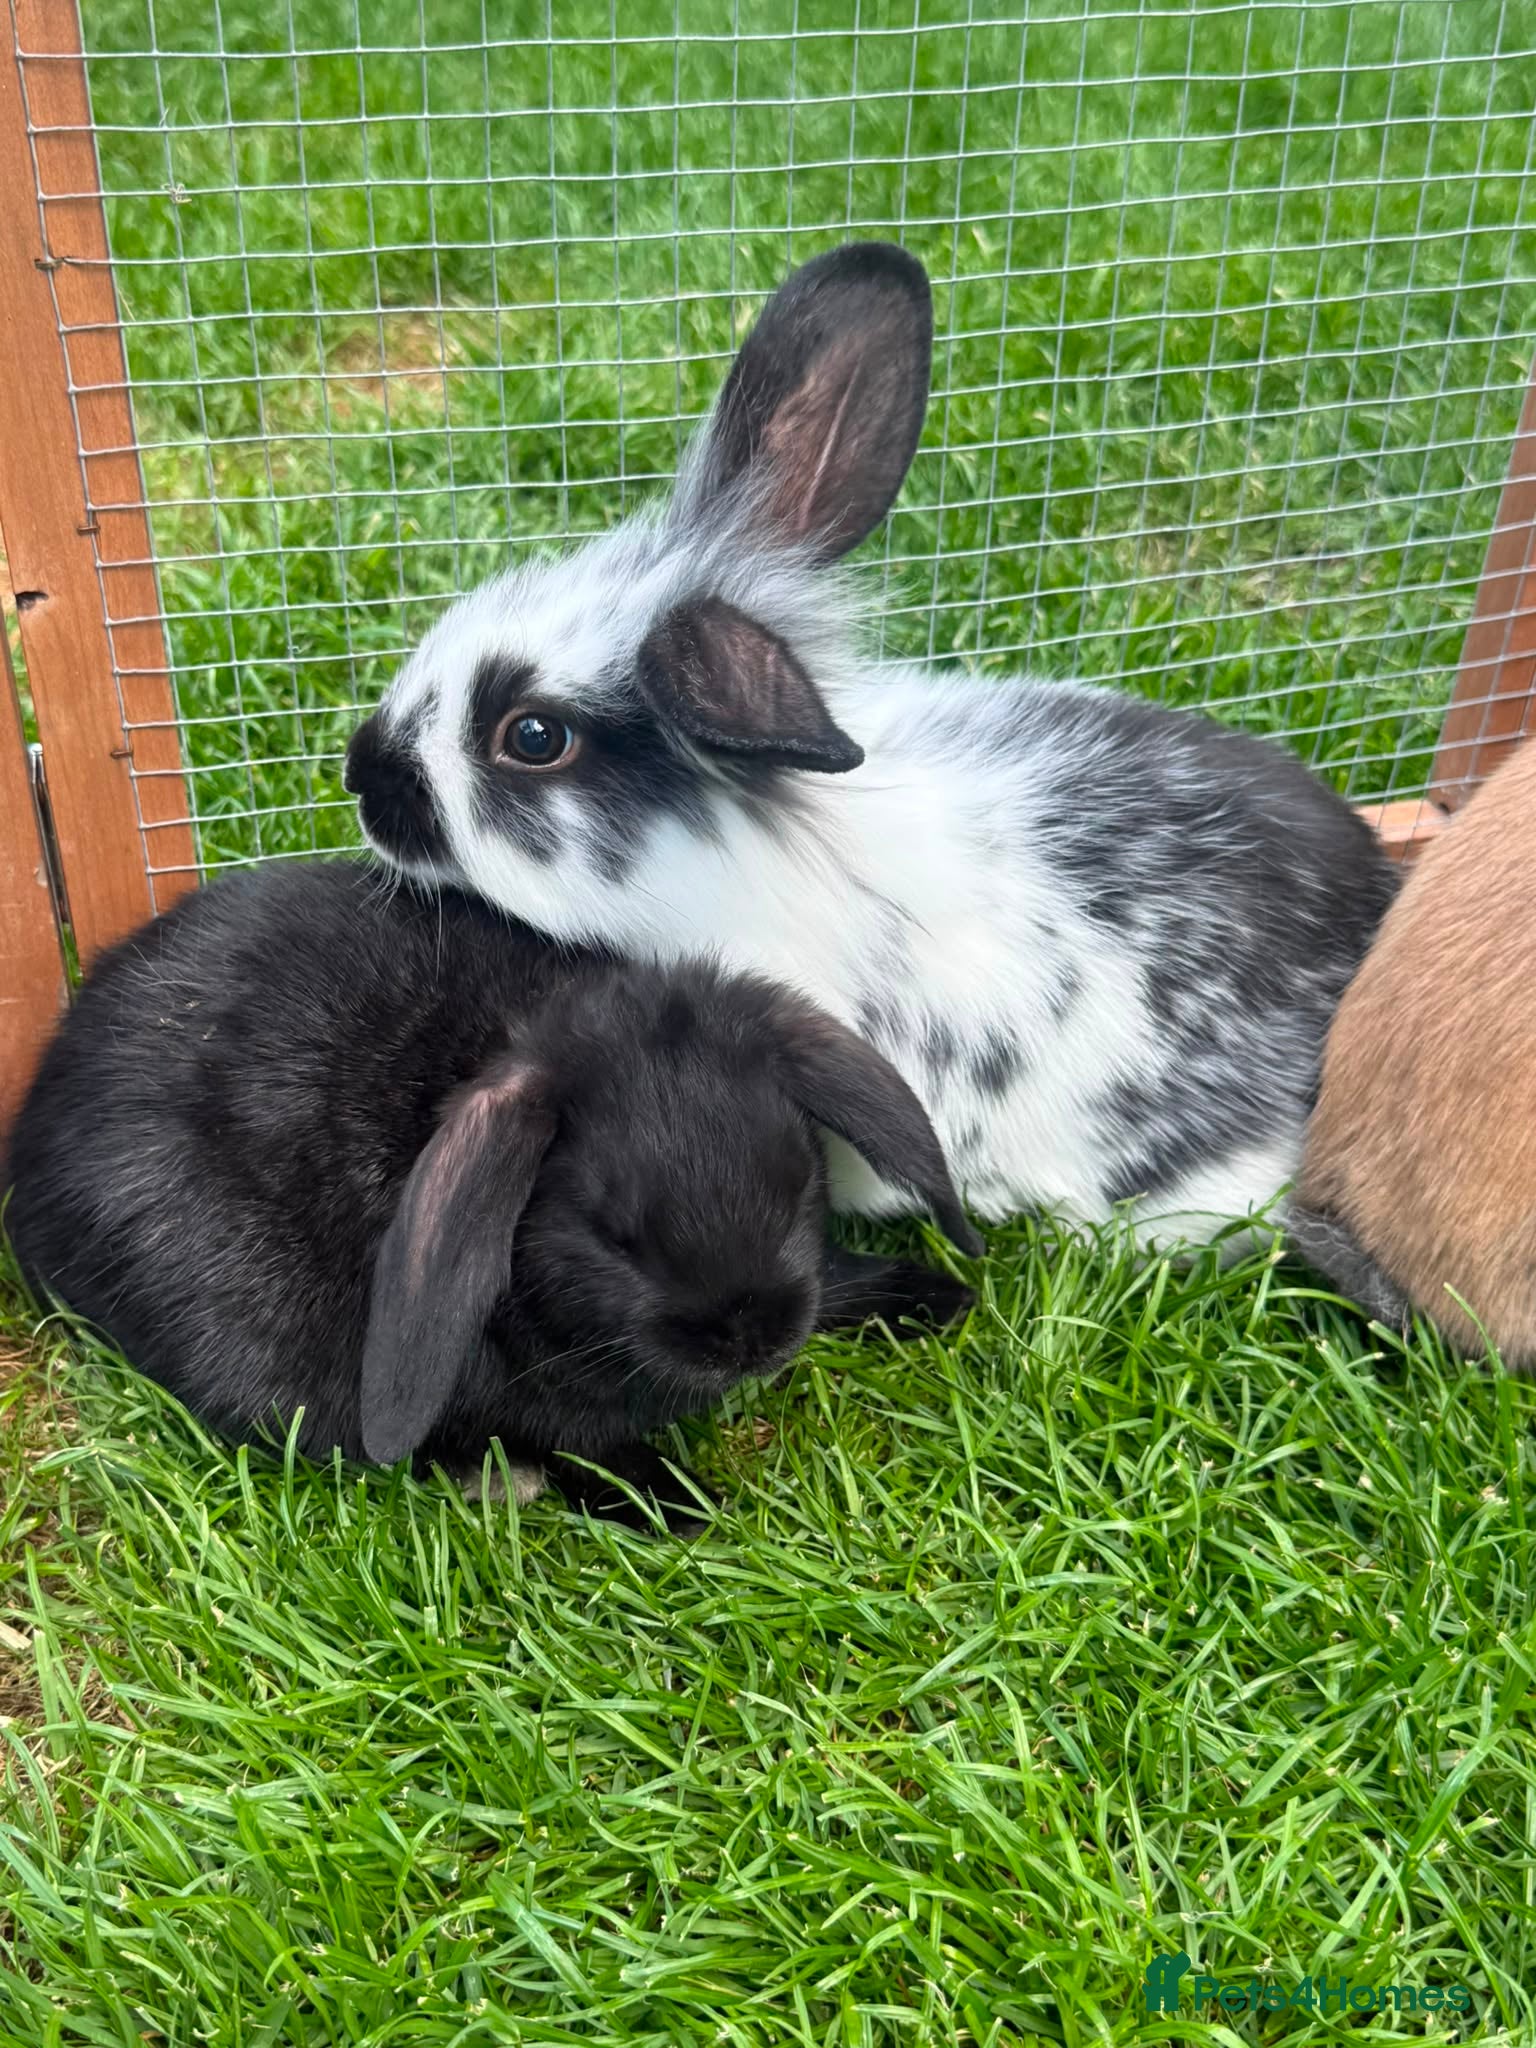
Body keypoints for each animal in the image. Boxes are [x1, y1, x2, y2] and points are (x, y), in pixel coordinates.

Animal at [4, 858, 978, 1529]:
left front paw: (932, 1295)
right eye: (614, 1234)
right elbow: (584, 1447)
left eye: (797, 1177)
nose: (753, 1338)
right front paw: (679, 1505)